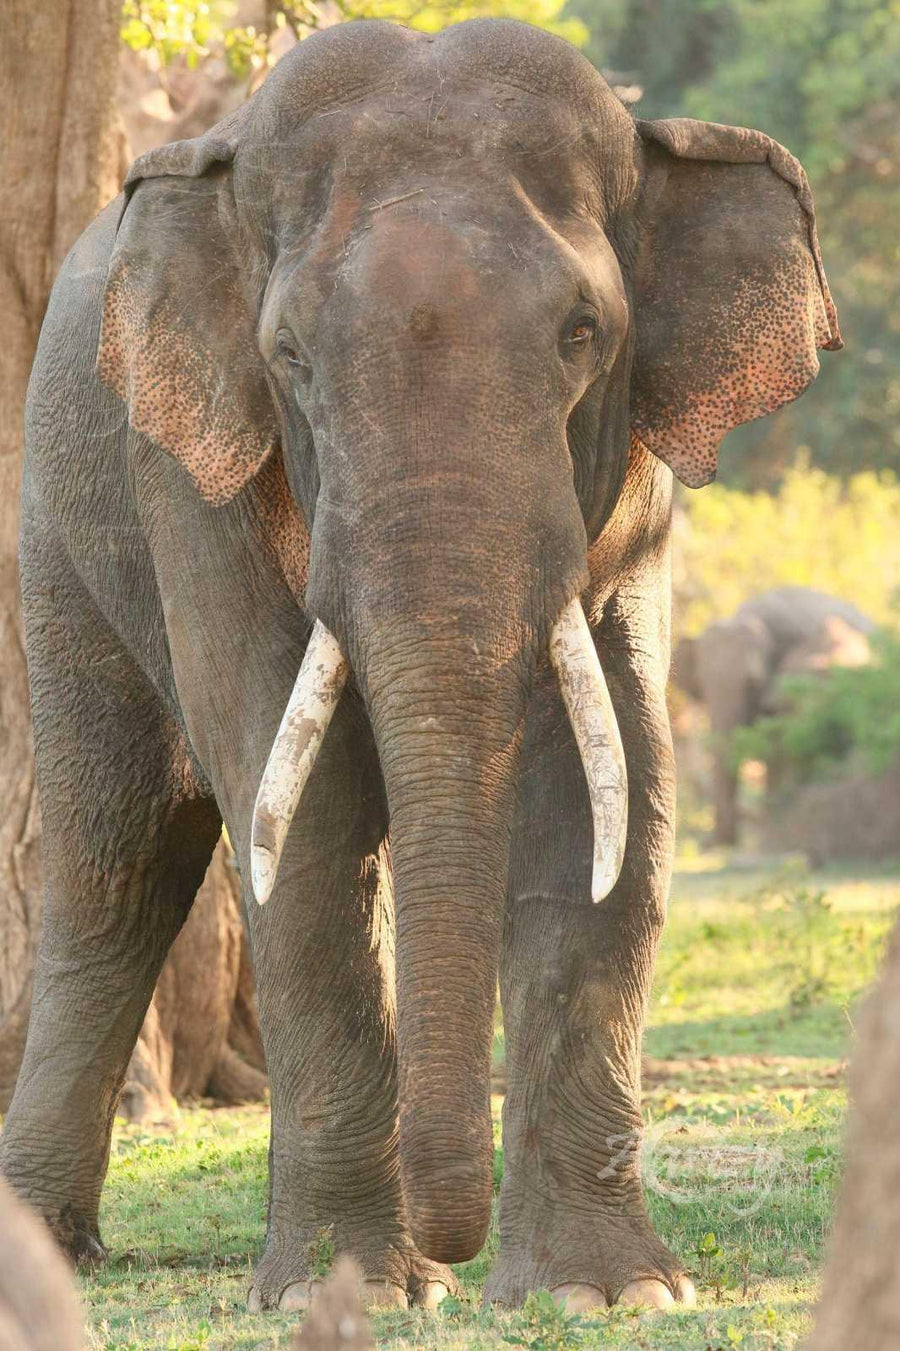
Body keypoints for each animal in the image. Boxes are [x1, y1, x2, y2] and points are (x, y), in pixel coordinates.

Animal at [1, 18, 840, 1315]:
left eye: (583, 336)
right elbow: (295, 808)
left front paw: (602, 1296)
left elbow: (605, 799)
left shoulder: (637, 488)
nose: (459, 1252)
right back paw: (51, 1247)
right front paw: (335, 1295)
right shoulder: (193, 477)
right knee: (117, 863)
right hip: (61, 535)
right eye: (289, 353)